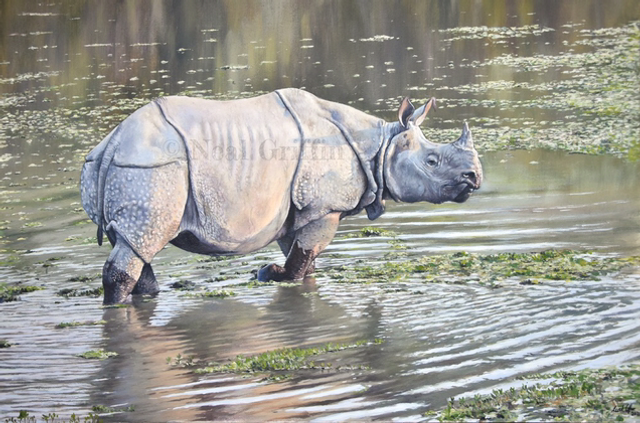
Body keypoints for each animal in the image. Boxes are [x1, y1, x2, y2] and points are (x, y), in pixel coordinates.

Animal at [81, 88, 482, 304]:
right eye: (432, 162)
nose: (475, 178)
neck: (381, 143)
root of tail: (112, 143)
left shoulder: (300, 207)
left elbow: (301, 256)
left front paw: (281, 276)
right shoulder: (324, 206)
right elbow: (303, 256)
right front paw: (267, 273)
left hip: (127, 169)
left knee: (133, 241)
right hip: (150, 170)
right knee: (140, 241)